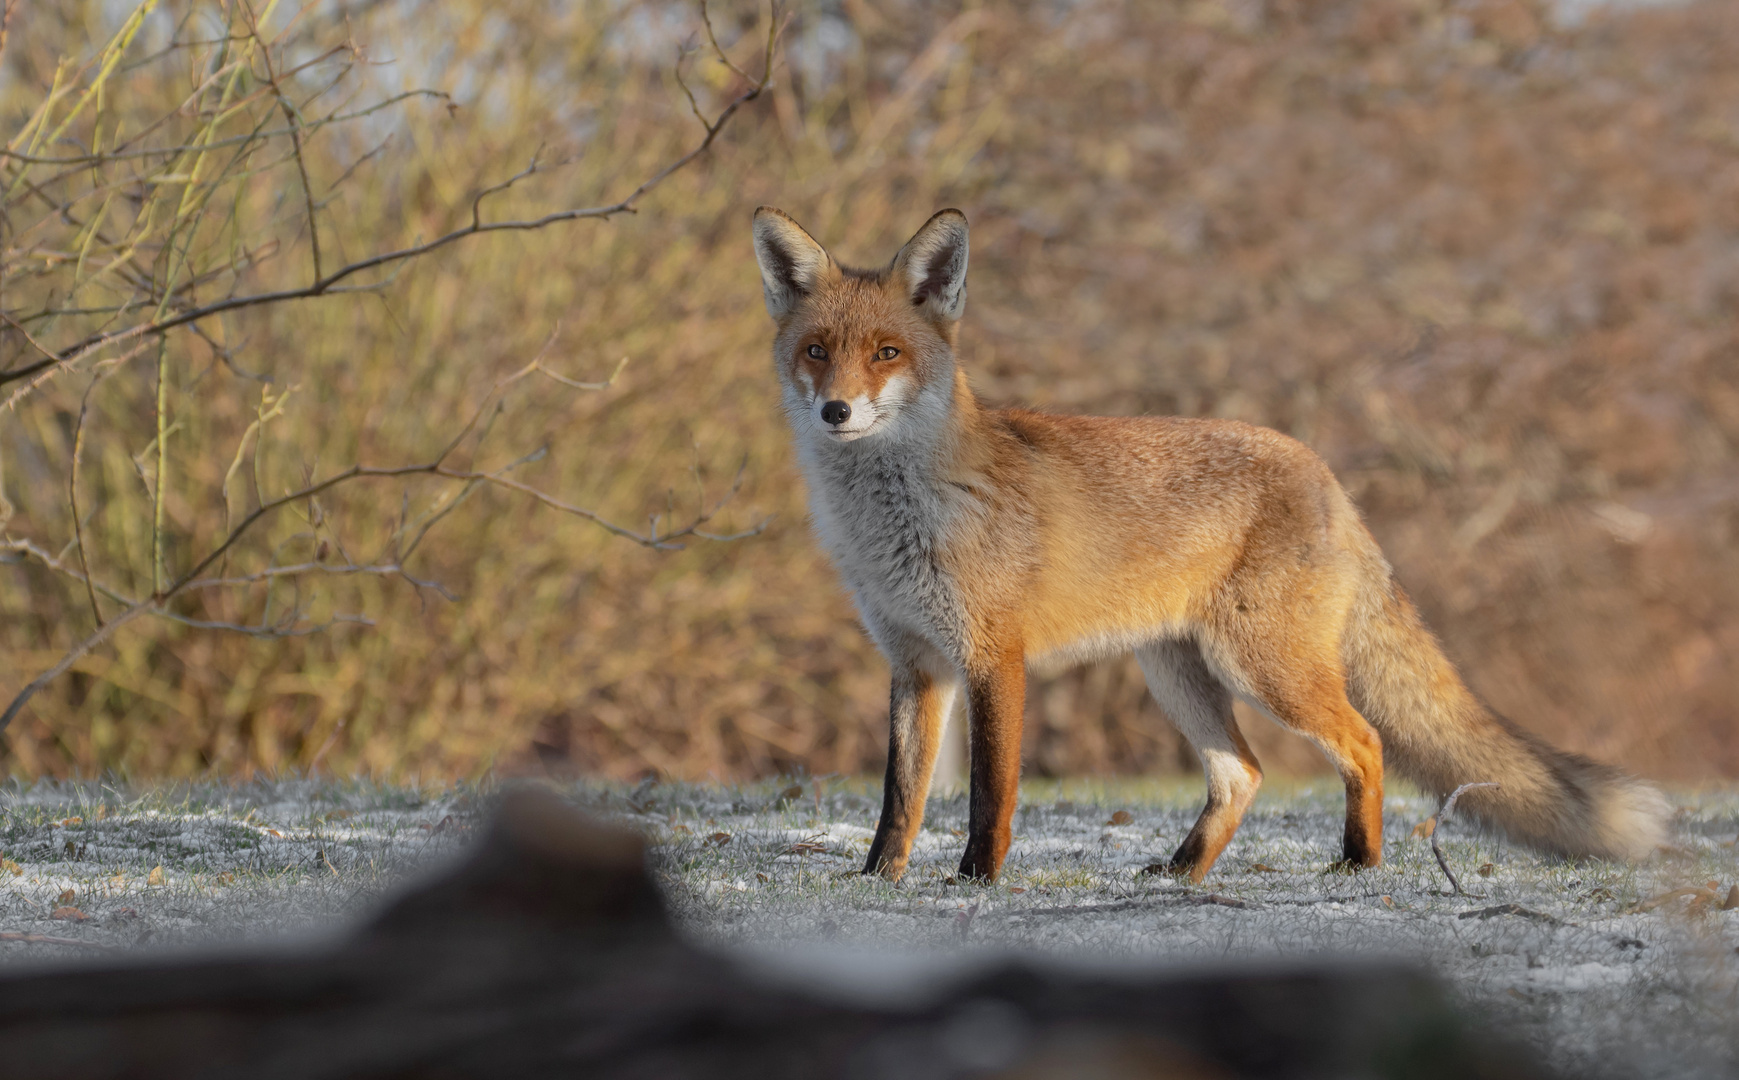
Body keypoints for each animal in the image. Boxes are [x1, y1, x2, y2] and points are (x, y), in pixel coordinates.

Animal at [751, 206, 1669, 880]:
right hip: (1177, 672)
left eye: (887, 353)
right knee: (1243, 775)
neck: (895, 521)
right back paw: (1181, 873)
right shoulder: (913, 662)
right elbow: (899, 798)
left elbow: (988, 794)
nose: (835, 411)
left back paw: (1357, 863)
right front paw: (877, 881)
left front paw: (975, 880)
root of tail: (1324, 472)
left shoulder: (992, 658)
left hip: (1262, 667)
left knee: (1363, 743)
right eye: (817, 352)